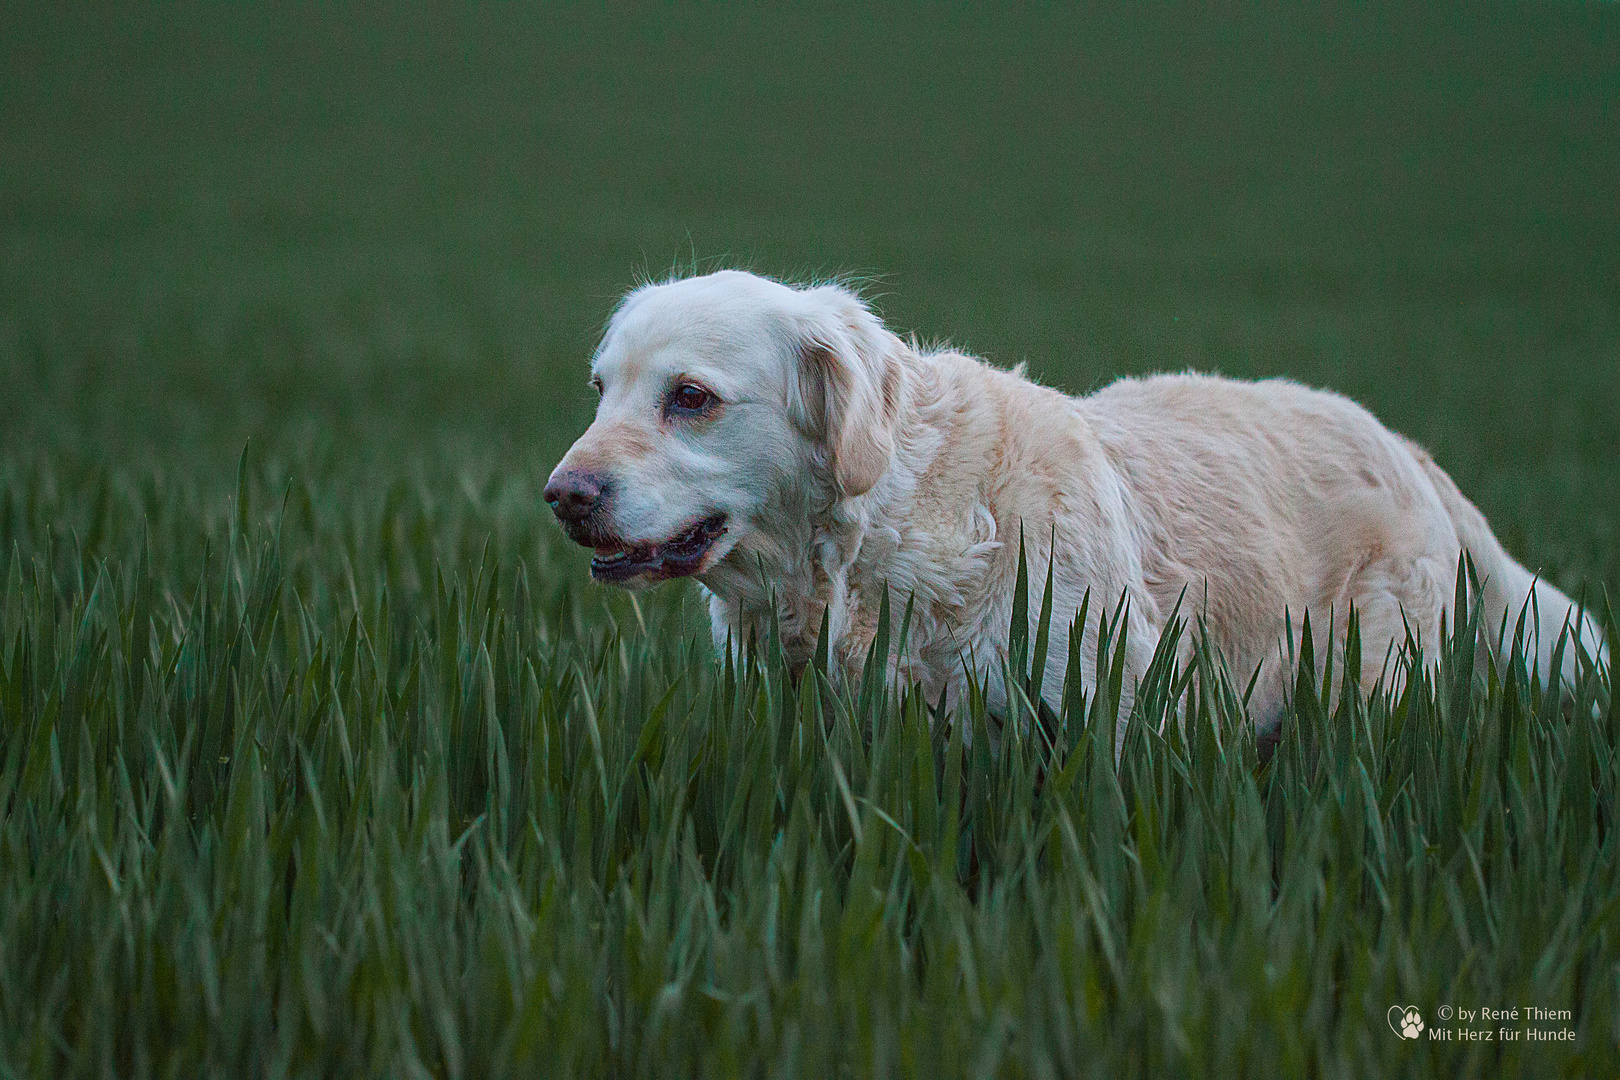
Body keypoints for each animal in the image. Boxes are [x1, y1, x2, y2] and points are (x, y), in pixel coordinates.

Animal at [547, 270, 1607, 744]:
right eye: (600, 390)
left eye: (691, 397)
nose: (564, 496)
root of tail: (1407, 447)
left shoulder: (1099, 704)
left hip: (1376, 678)